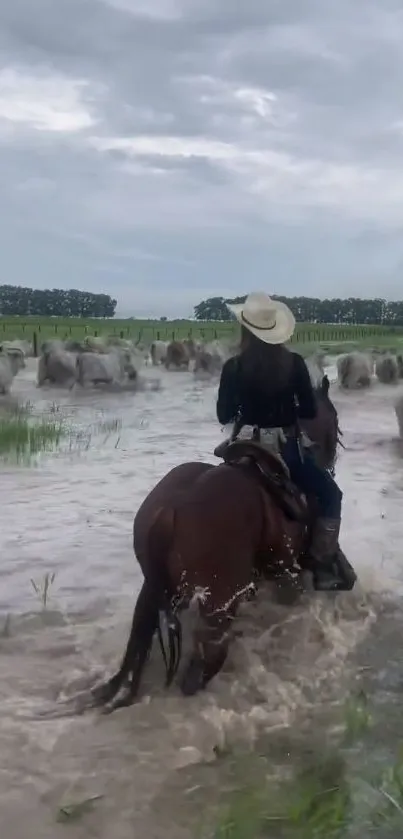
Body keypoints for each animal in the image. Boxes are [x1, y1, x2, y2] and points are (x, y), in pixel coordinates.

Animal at [93, 378, 352, 712]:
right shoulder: (289, 578)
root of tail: (170, 510)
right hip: (219, 605)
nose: (330, 464)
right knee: (204, 665)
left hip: (157, 589)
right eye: (336, 421)